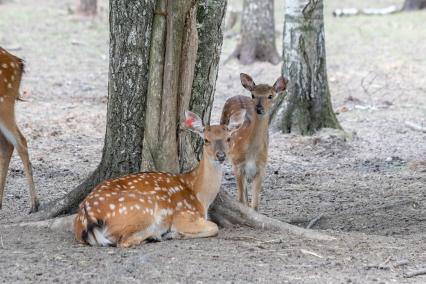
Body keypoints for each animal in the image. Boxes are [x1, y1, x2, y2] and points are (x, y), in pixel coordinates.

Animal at [75, 110, 245, 247]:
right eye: (206, 140)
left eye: (228, 138)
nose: (221, 156)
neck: (200, 195)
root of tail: (87, 217)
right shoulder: (184, 214)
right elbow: (214, 227)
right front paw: (175, 233)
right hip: (142, 209)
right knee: (124, 241)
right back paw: (157, 236)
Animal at [221, 73, 288, 211]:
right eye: (253, 95)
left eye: (270, 96)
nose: (259, 108)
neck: (251, 154)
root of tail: (237, 95)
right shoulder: (238, 164)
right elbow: (241, 200)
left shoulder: (261, 168)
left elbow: (255, 205)